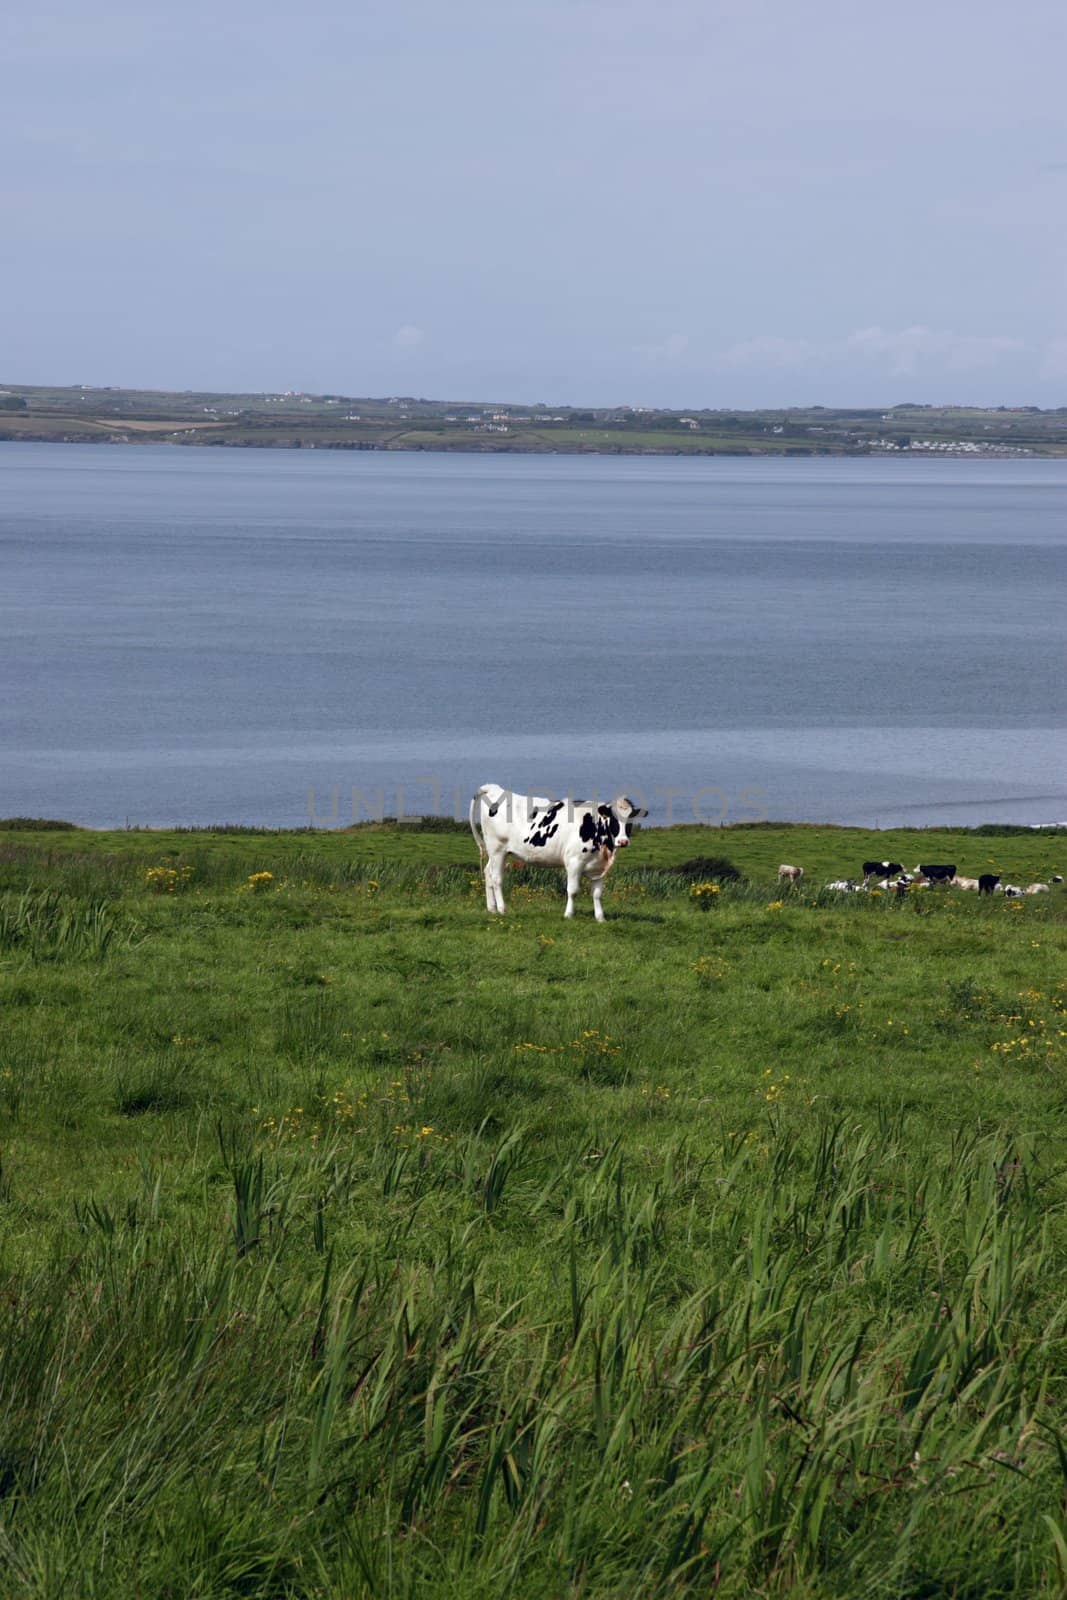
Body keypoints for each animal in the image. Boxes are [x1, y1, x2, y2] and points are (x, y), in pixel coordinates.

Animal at [470, 780, 646, 921]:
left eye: (630, 821)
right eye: (613, 820)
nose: (623, 841)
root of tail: (495, 789)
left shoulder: (598, 867)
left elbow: (597, 893)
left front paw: (600, 918)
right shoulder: (574, 862)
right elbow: (573, 890)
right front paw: (568, 915)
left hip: (497, 852)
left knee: (488, 873)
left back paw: (492, 908)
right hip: (497, 849)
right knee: (496, 878)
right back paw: (502, 909)